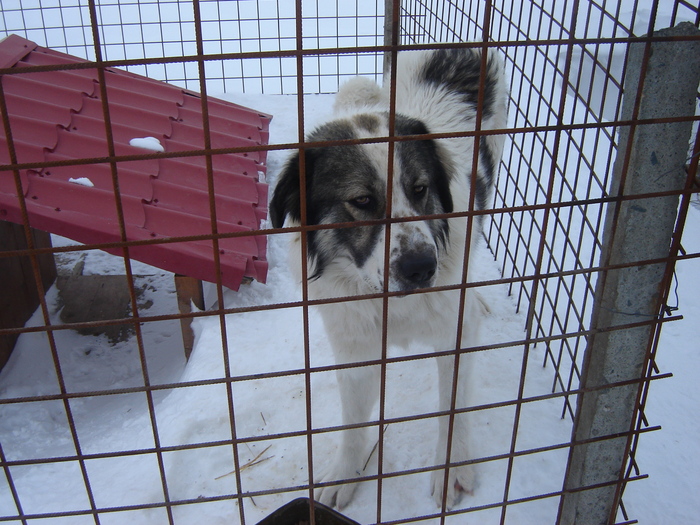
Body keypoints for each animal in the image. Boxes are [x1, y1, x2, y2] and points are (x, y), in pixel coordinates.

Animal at [270, 48, 508, 508]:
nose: (421, 269)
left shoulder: (454, 332)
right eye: (362, 200)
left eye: (419, 189)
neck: (391, 302)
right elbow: (351, 425)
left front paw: (451, 467)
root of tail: (457, 48)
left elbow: (452, 405)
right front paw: (345, 474)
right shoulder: (354, 347)